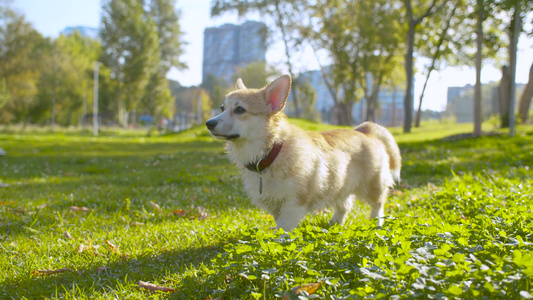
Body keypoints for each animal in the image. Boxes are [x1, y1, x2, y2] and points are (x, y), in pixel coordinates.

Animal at [206, 75, 402, 232]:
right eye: (222, 108)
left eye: (240, 109)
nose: (209, 123)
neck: (271, 153)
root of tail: (365, 131)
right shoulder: (276, 204)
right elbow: (279, 224)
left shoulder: (294, 204)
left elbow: (284, 228)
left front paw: (278, 245)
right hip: (340, 185)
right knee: (344, 206)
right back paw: (334, 224)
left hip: (372, 186)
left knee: (377, 205)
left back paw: (376, 224)